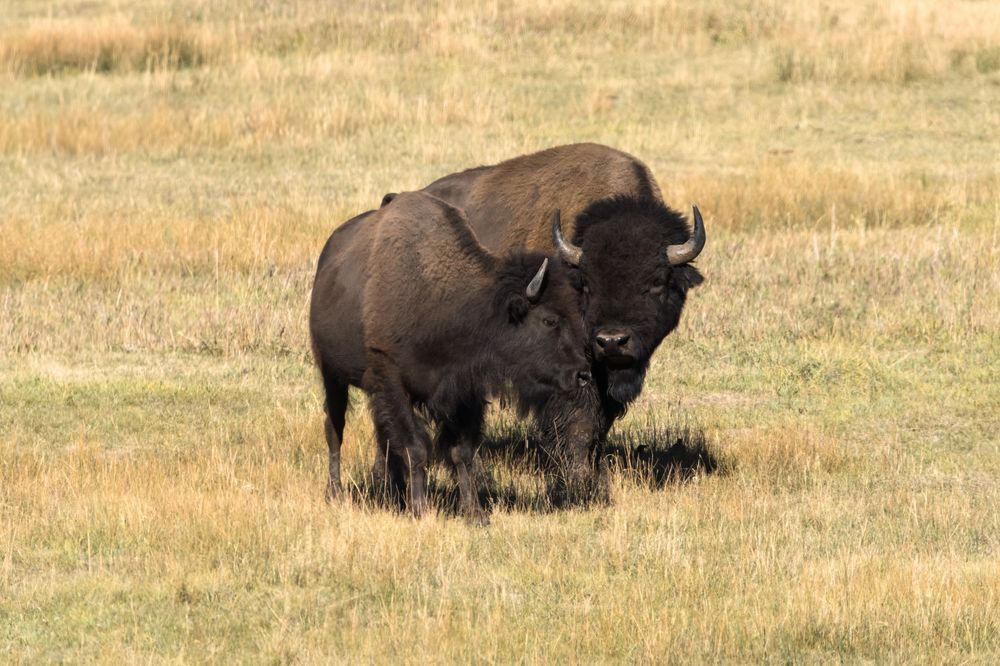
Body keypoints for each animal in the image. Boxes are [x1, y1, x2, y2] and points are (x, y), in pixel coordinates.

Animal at [309, 191, 590, 523]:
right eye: (549, 320)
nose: (582, 373)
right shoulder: (392, 381)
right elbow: (416, 447)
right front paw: (420, 510)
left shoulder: (465, 392)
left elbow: (461, 451)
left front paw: (475, 514)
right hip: (331, 374)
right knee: (335, 429)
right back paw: (336, 493)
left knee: (381, 438)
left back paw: (392, 493)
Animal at [409, 143, 706, 497]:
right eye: (587, 284)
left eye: (657, 282)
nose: (612, 341)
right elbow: (579, 420)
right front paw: (580, 483)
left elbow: (600, 424)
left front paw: (597, 477)